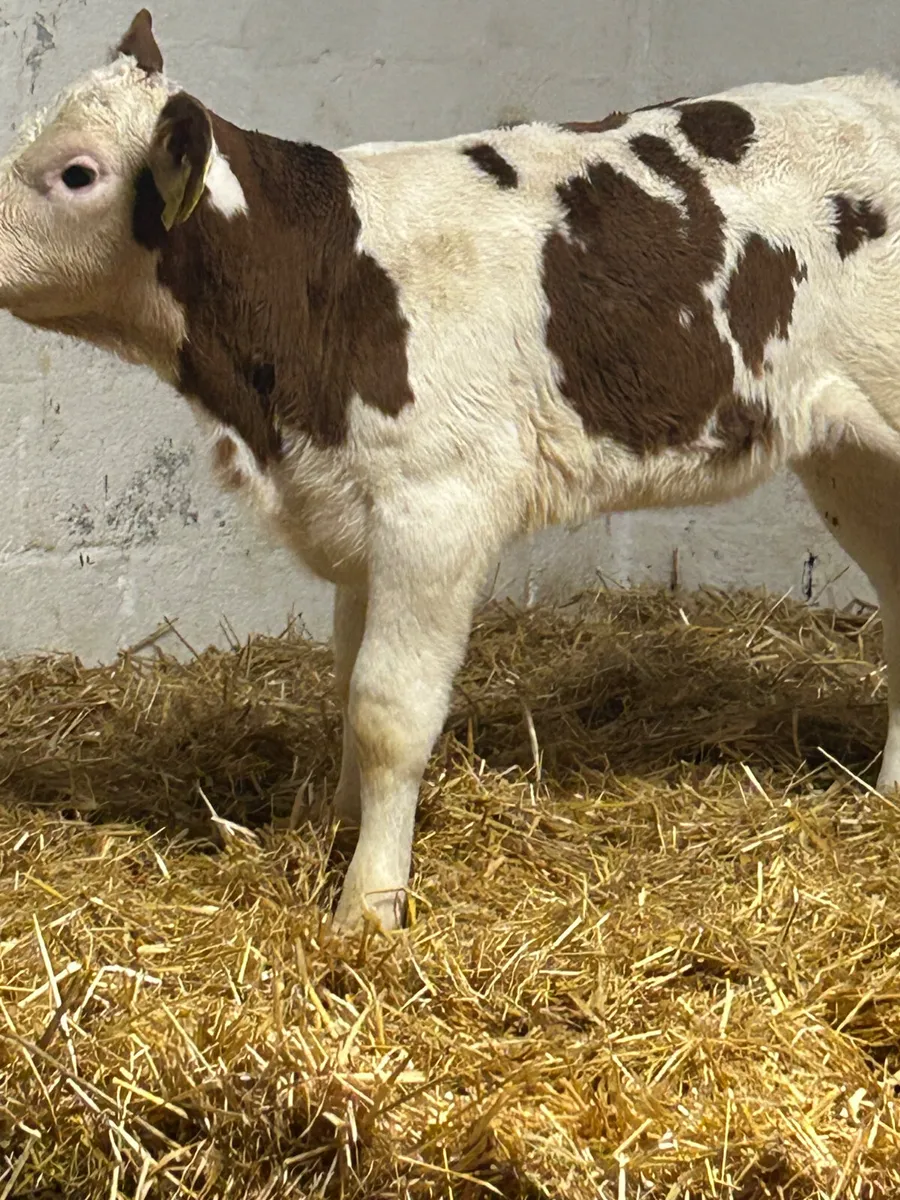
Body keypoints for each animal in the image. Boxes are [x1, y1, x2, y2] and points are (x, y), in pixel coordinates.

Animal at [0, 10, 898, 932]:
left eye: (77, 173)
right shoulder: (357, 516)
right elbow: (346, 682)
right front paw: (338, 826)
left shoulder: (435, 508)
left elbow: (387, 709)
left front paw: (367, 905)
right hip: (850, 454)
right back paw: (886, 795)